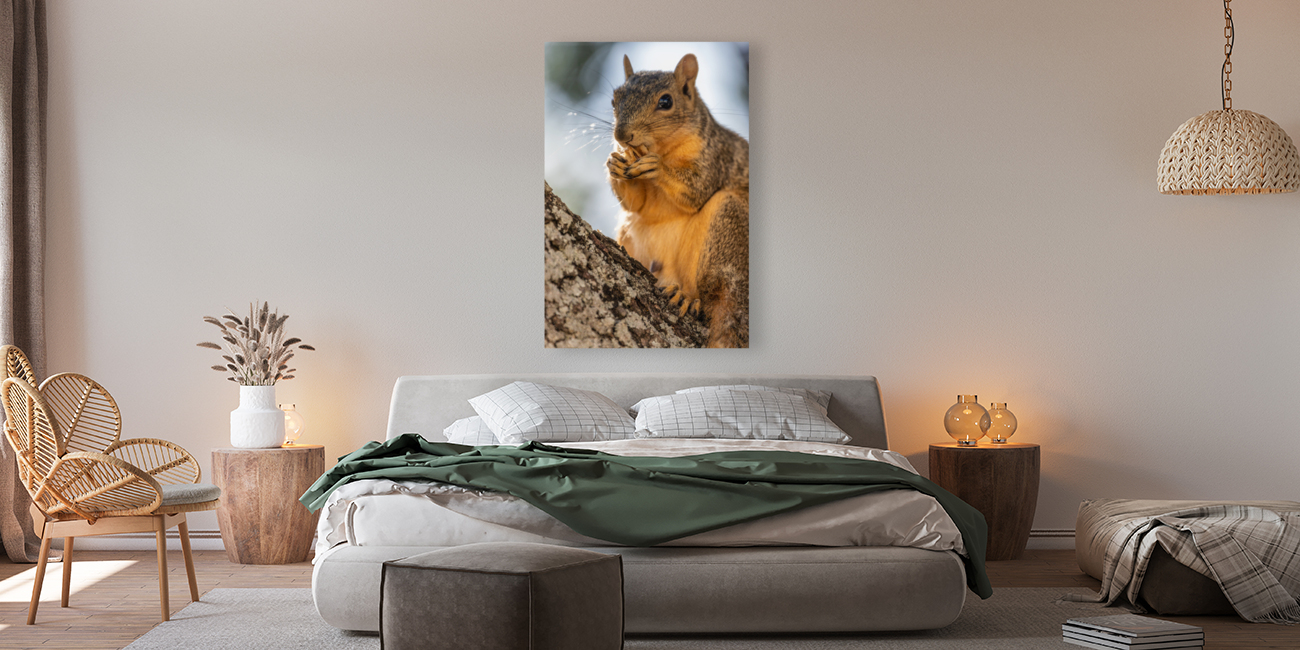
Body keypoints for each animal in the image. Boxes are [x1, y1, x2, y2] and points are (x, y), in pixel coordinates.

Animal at [606, 53, 749, 349]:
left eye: (666, 102)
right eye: (614, 100)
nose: (622, 136)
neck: (661, 148)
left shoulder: (714, 157)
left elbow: (696, 190)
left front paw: (658, 167)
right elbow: (635, 204)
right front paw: (615, 163)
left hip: (728, 230)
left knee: (713, 294)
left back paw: (688, 297)